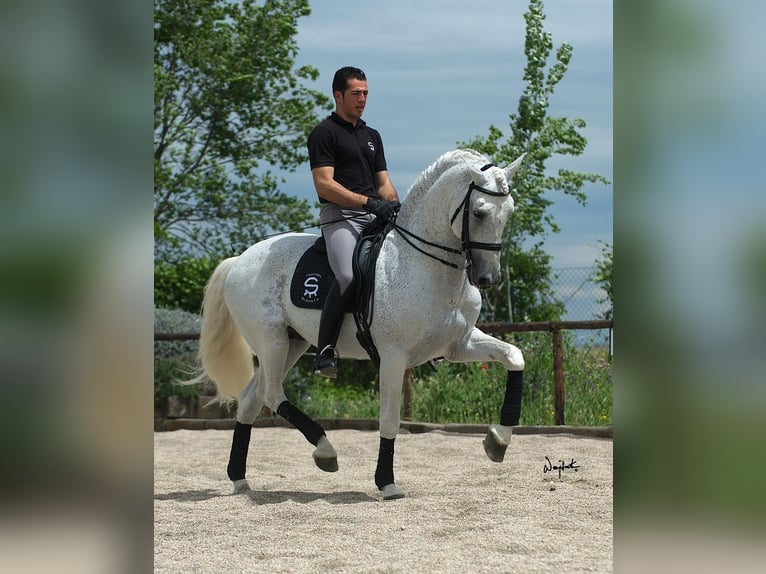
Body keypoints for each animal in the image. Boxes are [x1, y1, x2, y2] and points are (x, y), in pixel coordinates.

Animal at [194, 148, 528, 500]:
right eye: (479, 213)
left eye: (509, 212)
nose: (488, 279)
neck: (425, 265)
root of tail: (239, 260)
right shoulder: (394, 356)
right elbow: (390, 419)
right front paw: (387, 482)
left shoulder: (458, 346)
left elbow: (514, 357)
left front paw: (498, 440)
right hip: (271, 341)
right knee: (270, 394)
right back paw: (325, 450)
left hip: (292, 343)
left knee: (250, 399)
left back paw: (239, 479)